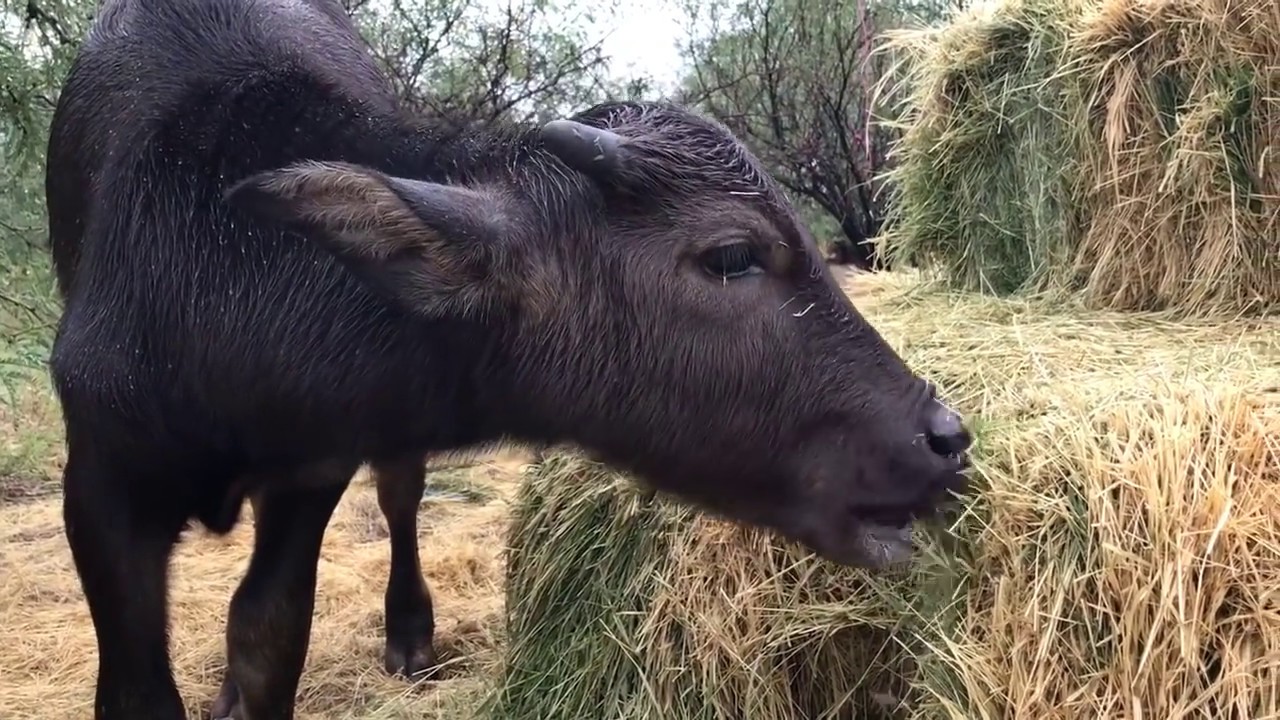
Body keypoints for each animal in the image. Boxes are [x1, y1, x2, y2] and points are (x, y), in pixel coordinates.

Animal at [43, 0, 973, 718]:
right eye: (732, 255)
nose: (945, 436)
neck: (221, 273)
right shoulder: (100, 486)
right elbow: (135, 692)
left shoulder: (314, 472)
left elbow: (265, 640)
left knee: (401, 494)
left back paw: (409, 630)